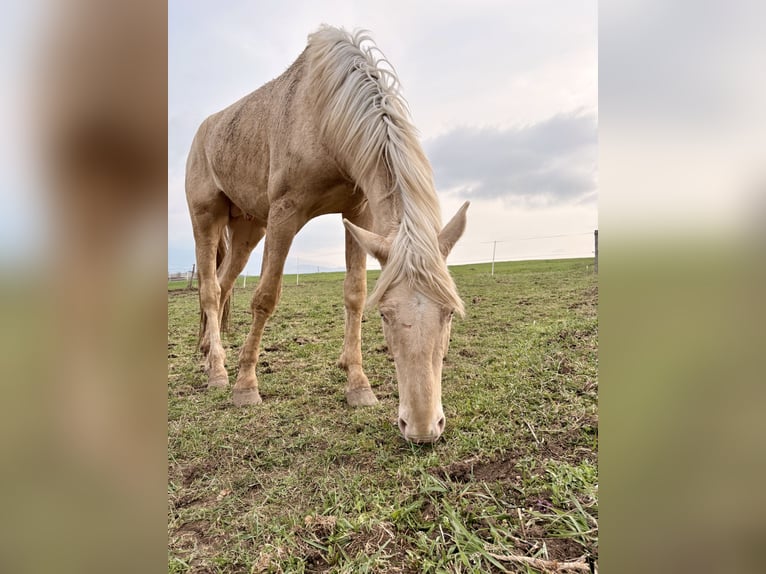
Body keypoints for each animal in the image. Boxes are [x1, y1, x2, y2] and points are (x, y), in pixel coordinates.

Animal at [186, 25, 469, 443]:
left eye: (449, 313)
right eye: (385, 316)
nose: (422, 428)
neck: (325, 117)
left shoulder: (357, 213)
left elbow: (354, 294)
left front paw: (358, 384)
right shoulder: (285, 213)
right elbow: (265, 297)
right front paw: (245, 386)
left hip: (248, 228)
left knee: (222, 285)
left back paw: (208, 353)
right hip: (207, 218)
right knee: (209, 289)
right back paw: (219, 371)